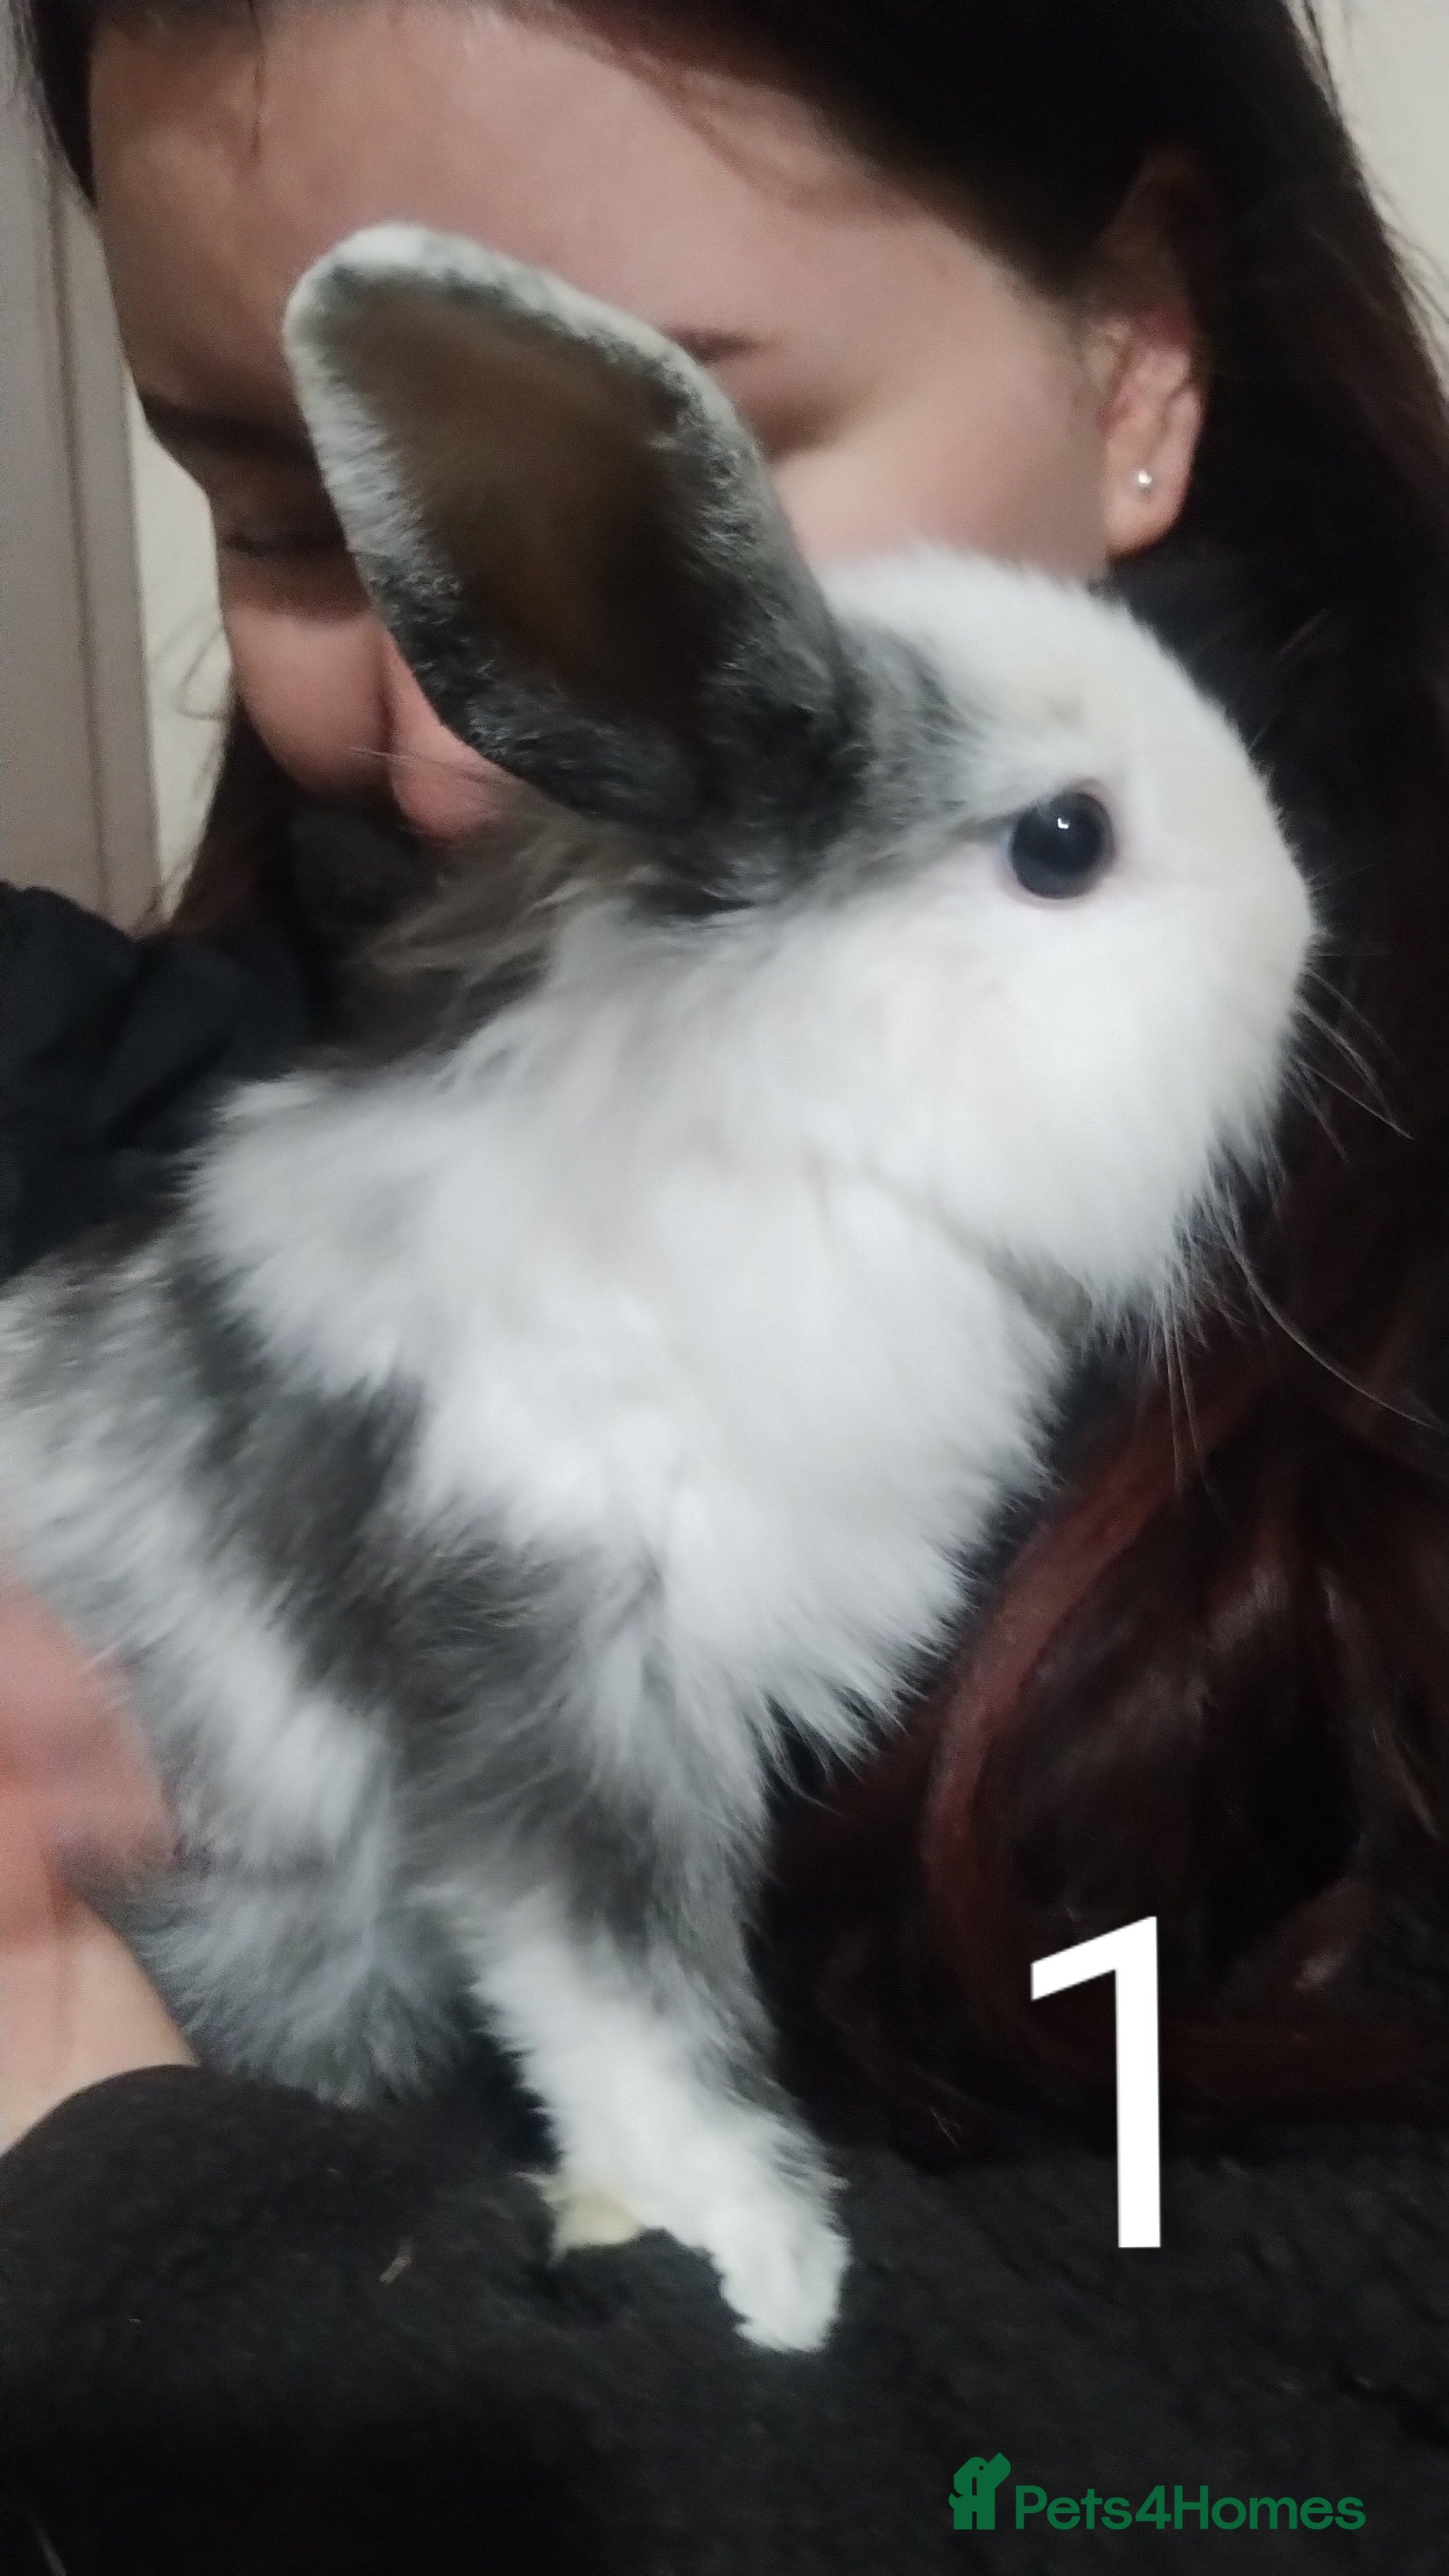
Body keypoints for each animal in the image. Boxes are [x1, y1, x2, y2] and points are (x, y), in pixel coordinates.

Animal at [0, 223, 1316, 2354]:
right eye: (1063, 841)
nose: (1299, 932)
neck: (800, 1126)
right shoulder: (549, 1676)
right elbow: (620, 1997)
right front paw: (761, 2266)